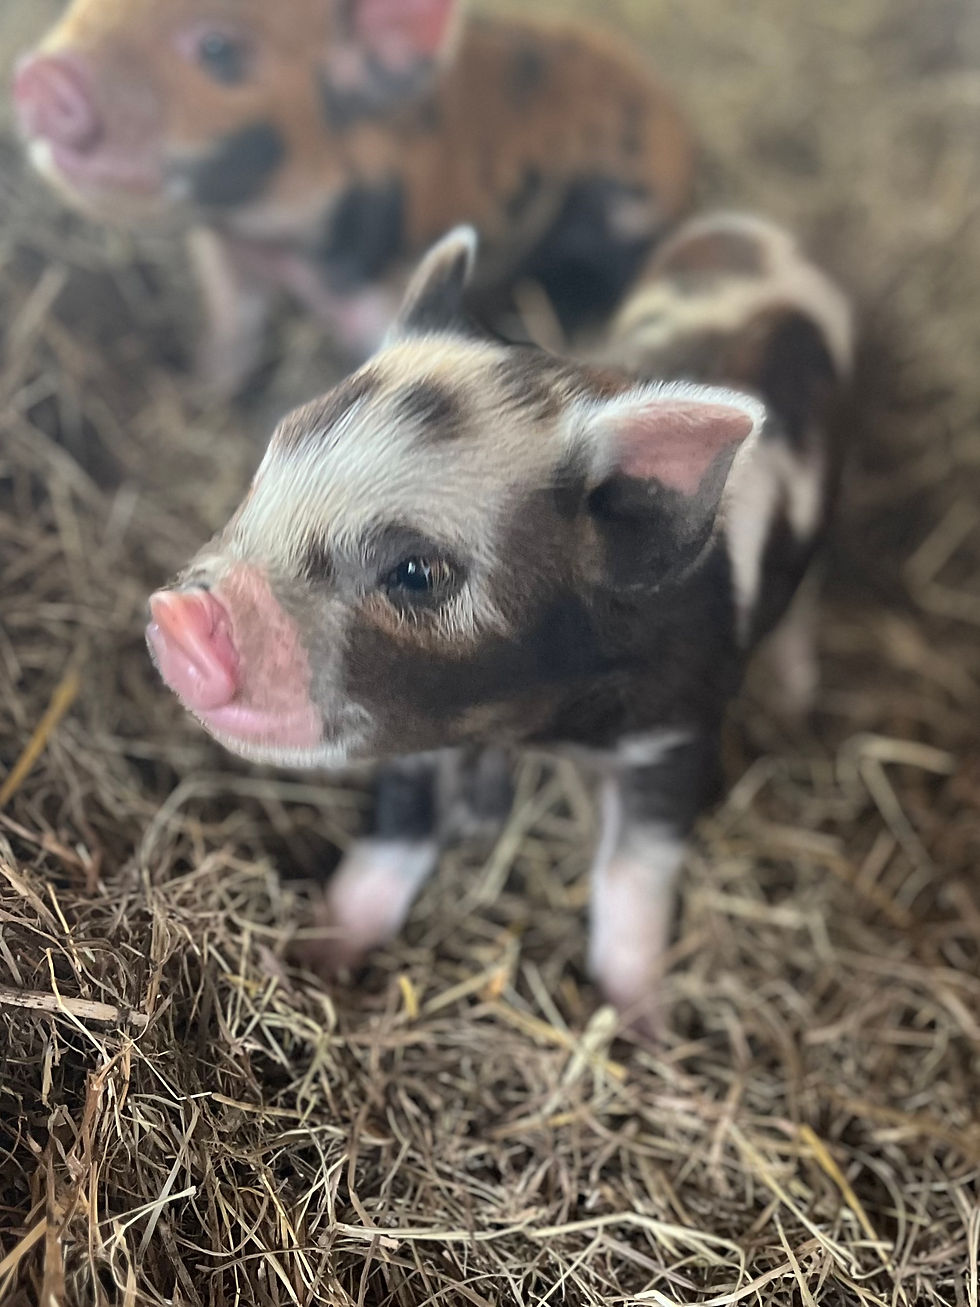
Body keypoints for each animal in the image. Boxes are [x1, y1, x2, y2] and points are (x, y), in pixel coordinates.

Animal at [14, 0, 694, 397]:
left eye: (217, 47)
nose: (41, 77)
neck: (276, 246)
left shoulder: (381, 288)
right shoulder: (228, 259)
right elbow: (232, 335)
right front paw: (203, 391)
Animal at [146, 210, 853, 1023]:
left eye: (416, 573)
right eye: (266, 470)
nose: (177, 616)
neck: (532, 730)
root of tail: (757, 230)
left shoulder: (676, 732)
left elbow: (634, 876)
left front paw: (642, 1024)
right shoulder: (412, 721)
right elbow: (395, 832)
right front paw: (316, 957)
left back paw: (793, 704)